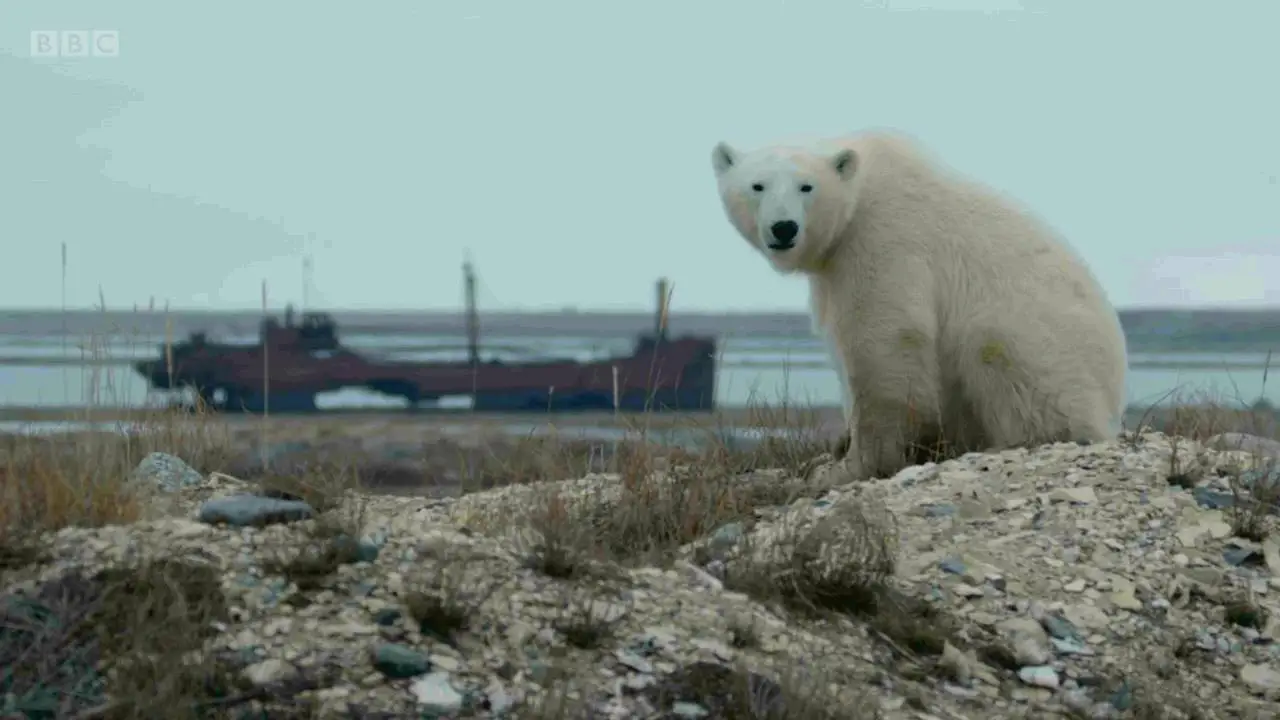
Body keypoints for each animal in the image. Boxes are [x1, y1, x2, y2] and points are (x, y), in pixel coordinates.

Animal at [710, 130, 1128, 481]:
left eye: (806, 186)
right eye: (757, 185)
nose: (784, 228)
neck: (861, 188)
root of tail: (1114, 396)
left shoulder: (883, 238)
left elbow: (885, 341)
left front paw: (853, 465)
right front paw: (836, 448)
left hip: (1042, 345)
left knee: (1001, 356)